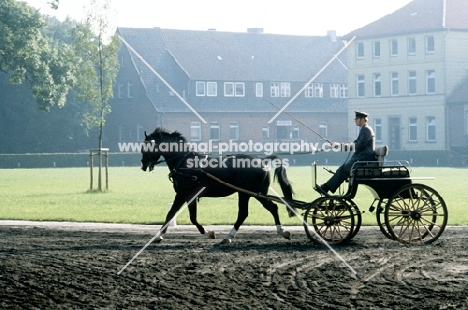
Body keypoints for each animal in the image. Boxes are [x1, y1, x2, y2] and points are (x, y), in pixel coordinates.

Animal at [141, 127, 296, 243]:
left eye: (146, 146)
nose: (143, 164)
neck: (184, 162)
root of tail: (262, 160)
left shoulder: (190, 194)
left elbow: (192, 217)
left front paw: (208, 232)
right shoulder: (180, 194)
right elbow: (170, 214)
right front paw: (158, 236)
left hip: (246, 193)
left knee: (248, 212)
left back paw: (230, 236)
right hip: (257, 193)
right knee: (269, 208)